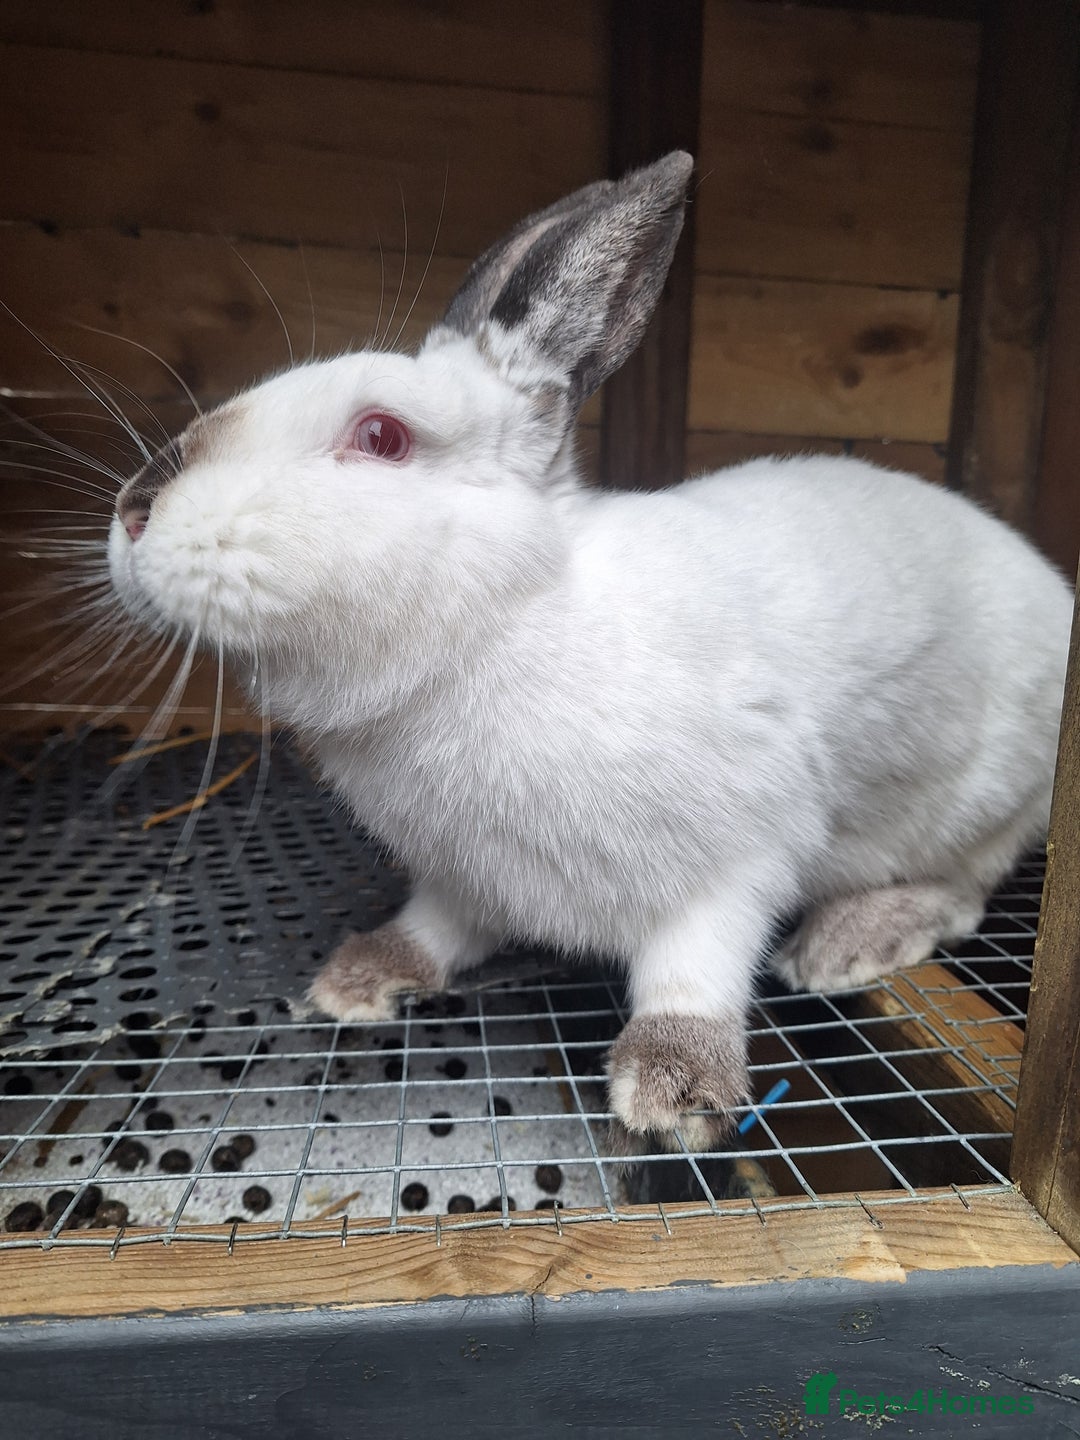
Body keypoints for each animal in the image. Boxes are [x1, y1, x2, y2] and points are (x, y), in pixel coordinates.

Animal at [108, 150, 1074, 1148]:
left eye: (381, 435)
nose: (133, 511)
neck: (496, 629)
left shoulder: (738, 857)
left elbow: (699, 965)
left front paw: (674, 1088)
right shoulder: (460, 876)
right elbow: (438, 926)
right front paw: (363, 974)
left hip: (988, 798)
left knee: (968, 886)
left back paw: (853, 939)